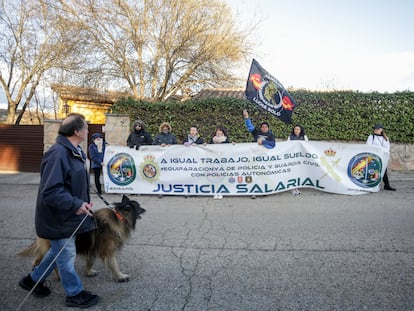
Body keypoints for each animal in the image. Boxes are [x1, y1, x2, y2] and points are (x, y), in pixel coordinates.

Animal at [18, 195, 147, 282]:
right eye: (138, 207)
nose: (145, 210)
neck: (119, 217)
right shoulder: (108, 251)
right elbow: (114, 264)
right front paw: (120, 276)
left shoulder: (92, 249)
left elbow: (90, 262)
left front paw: (89, 272)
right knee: (52, 265)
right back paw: (57, 277)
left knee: (37, 260)